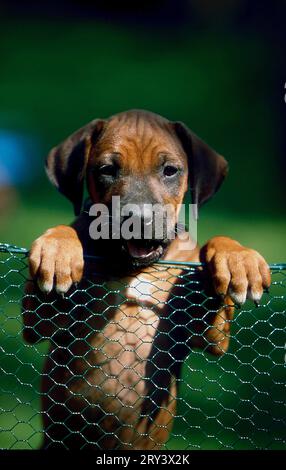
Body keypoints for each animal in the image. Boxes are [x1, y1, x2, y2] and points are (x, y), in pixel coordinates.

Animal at [22, 108, 270, 450]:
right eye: (107, 170)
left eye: (170, 171)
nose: (139, 219)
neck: (134, 268)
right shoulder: (39, 321)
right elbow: (69, 235)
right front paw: (57, 248)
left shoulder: (213, 334)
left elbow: (217, 250)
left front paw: (238, 258)